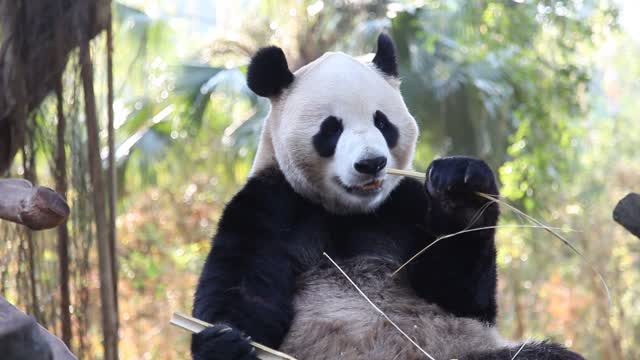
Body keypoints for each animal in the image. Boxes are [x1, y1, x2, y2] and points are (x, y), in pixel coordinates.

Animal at [189, 33, 580, 360]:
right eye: (331, 129)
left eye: (382, 122)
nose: (371, 163)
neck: (348, 213)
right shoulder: (270, 204)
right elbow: (245, 295)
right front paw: (224, 343)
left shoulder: (406, 204)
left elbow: (459, 294)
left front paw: (461, 189)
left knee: (545, 355)